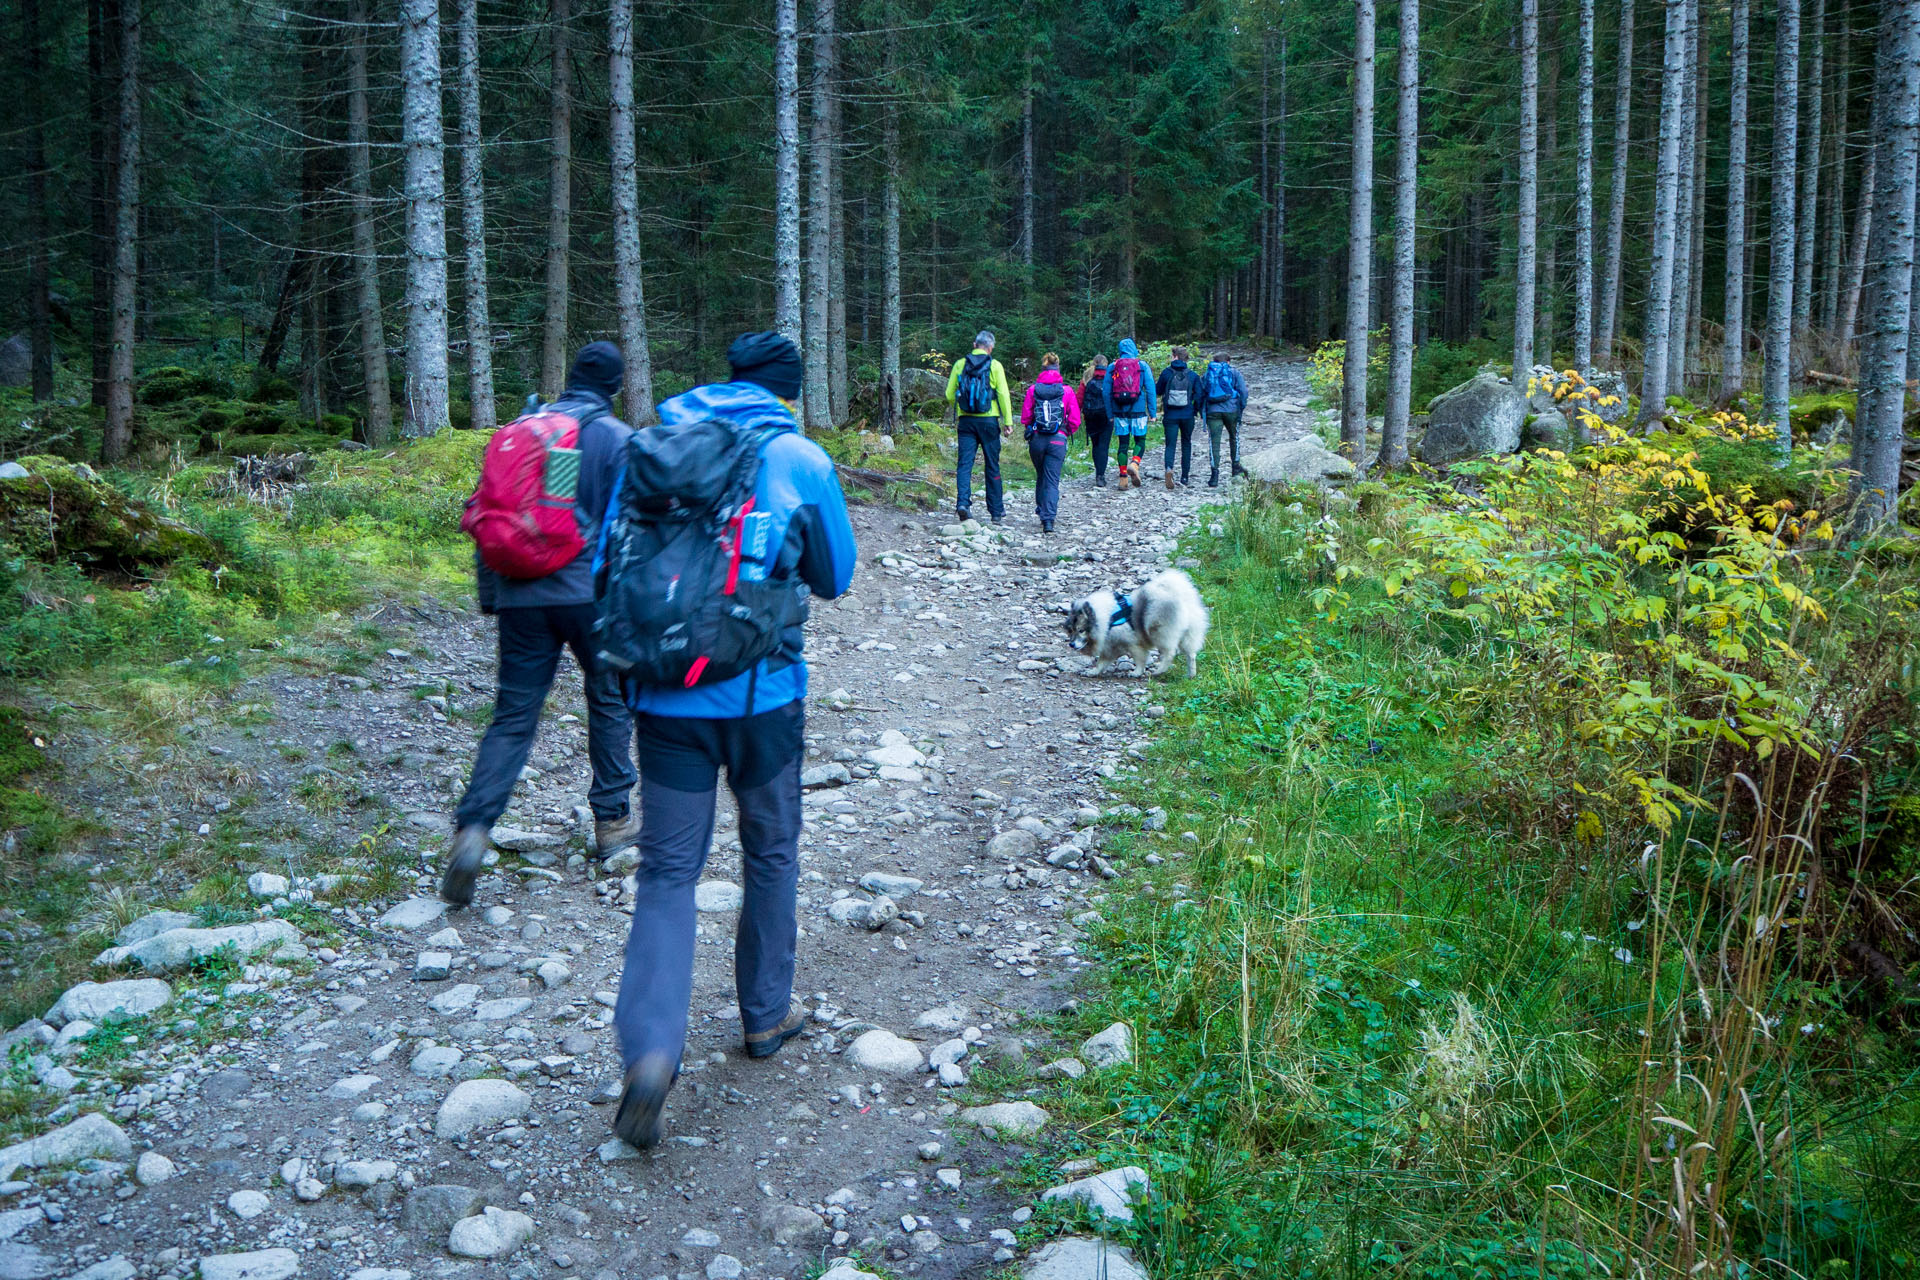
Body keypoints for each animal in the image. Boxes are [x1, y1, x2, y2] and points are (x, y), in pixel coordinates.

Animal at [1067, 571, 1198, 679]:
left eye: (1081, 630)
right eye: (1071, 630)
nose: (1071, 644)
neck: (1108, 619)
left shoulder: (1132, 644)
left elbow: (1139, 659)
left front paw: (1136, 672)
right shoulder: (1110, 646)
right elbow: (1102, 662)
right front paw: (1093, 672)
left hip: (1160, 634)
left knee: (1170, 653)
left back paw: (1159, 671)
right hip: (1187, 635)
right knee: (1191, 654)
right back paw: (1191, 674)